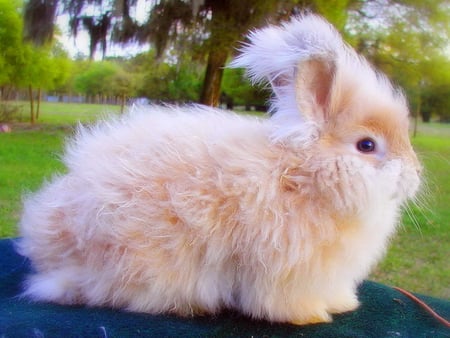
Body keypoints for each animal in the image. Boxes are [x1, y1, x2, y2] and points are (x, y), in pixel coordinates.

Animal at [15, 14, 420, 326]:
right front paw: (312, 317)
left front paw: (344, 304)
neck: (303, 177)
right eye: (366, 146)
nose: (415, 175)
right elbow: (285, 301)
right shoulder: (287, 271)